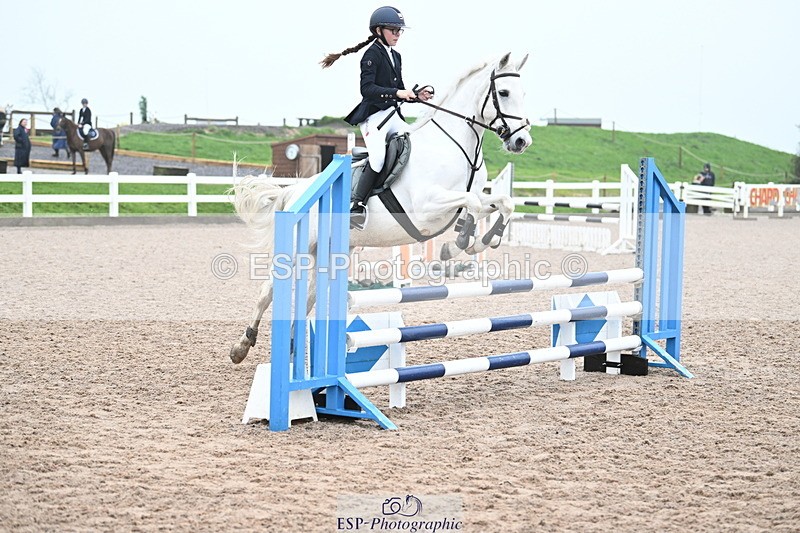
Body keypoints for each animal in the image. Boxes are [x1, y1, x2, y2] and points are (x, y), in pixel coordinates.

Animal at [229, 52, 532, 364]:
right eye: (504, 93)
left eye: (523, 93)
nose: (521, 141)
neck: (454, 146)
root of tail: (296, 192)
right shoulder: (426, 207)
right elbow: (470, 205)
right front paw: (458, 243)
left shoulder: (471, 201)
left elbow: (503, 204)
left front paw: (479, 241)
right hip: (295, 251)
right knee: (267, 291)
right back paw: (242, 346)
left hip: (330, 253)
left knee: (310, 297)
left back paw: (291, 347)